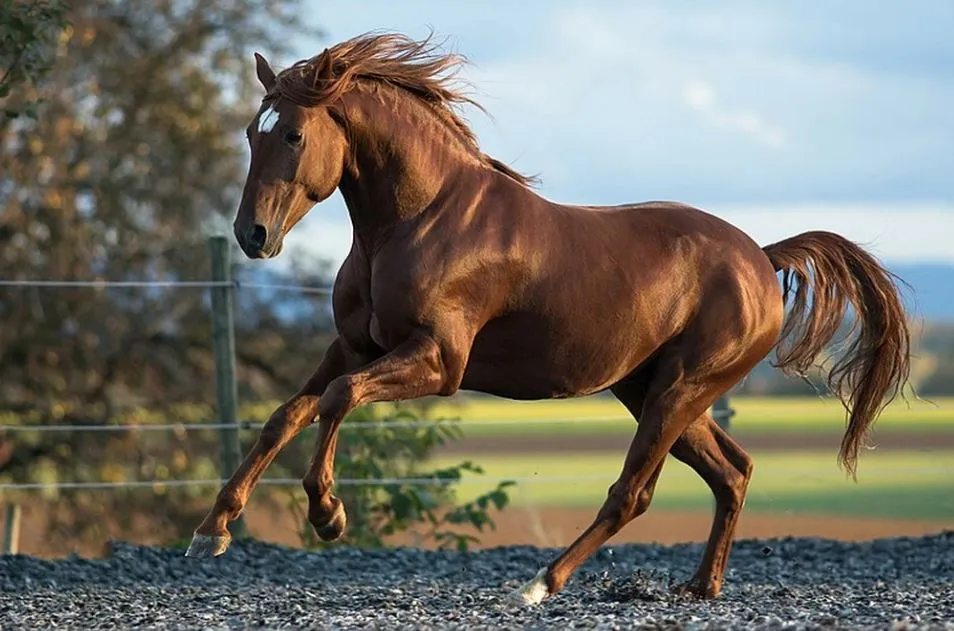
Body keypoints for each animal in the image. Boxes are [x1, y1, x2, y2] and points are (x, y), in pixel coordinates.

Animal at [184, 32, 908, 604]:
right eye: (250, 132)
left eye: (294, 134)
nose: (252, 235)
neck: (420, 220)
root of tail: (760, 256)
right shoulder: (353, 346)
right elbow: (286, 414)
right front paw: (212, 530)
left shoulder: (438, 361)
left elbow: (337, 399)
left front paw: (328, 514)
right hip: (654, 388)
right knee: (732, 472)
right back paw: (701, 587)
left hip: (679, 389)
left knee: (634, 492)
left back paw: (539, 583)